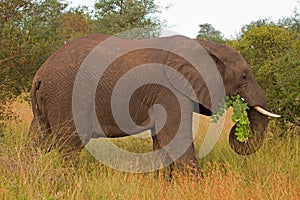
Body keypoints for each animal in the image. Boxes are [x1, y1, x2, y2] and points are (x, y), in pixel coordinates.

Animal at [29, 33, 280, 177]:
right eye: (245, 76)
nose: (236, 128)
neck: (204, 45)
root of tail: (40, 74)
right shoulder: (169, 91)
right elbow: (175, 138)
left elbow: (161, 140)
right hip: (67, 95)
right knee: (69, 145)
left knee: (38, 141)